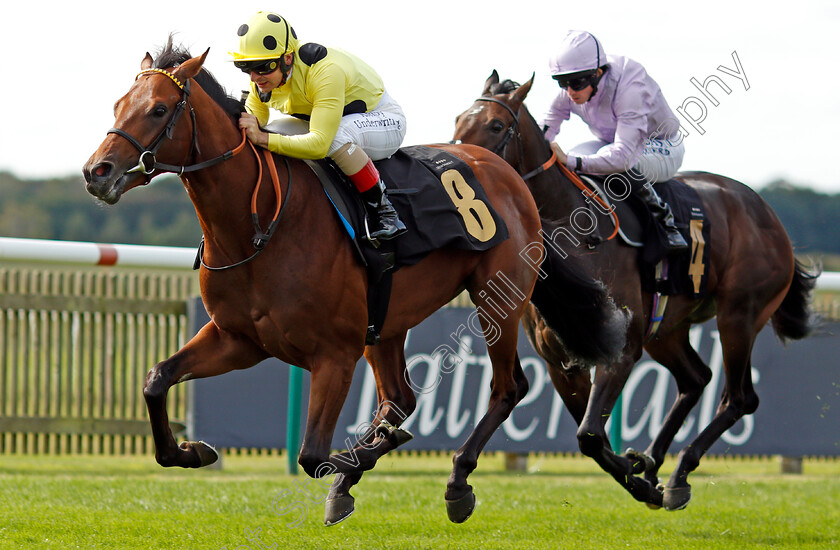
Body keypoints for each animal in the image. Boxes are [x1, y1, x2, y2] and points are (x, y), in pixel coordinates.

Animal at [83, 42, 624, 528]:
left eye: (157, 109)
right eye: (117, 105)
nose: (96, 172)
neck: (260, 223)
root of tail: (509, 174)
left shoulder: (334, 354)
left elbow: (312, 455)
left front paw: (372, 454)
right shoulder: (238, 339)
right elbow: (157, 379)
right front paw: (190, 451)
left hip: (500, 295)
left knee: (507, 387)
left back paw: (456, 482)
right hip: (388, 321)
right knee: (400, 398)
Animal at [452, 72, 820, 512]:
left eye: (495, 126)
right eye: (458, 119)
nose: (459, 166)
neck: (571, 228)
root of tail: (769, 215)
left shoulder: (622, 347)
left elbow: (590, 435)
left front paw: (643, 480)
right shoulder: (562, 361)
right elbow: (592, 437)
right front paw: (639, 476)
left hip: (739, 315)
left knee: (738, 398)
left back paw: (678, 474)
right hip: (666, 329)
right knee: (696, 378)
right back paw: (653, 462)